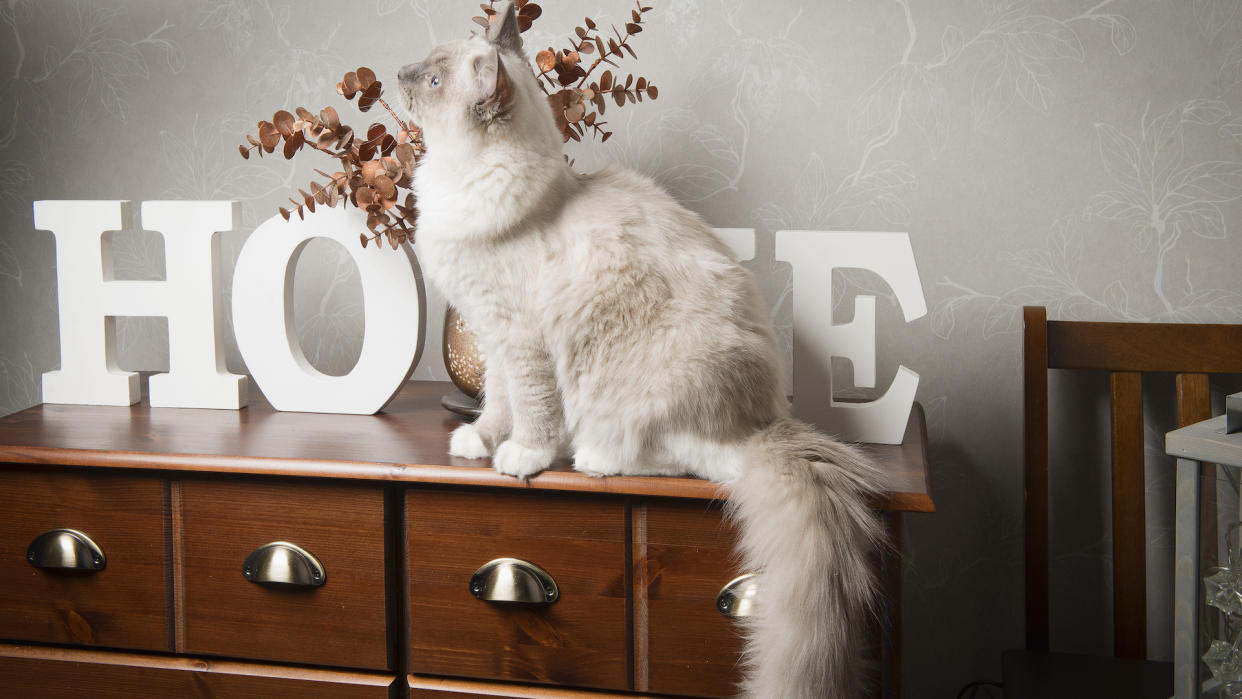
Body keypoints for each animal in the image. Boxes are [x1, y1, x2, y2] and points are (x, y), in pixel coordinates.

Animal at [397, 6, 884, 699]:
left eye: (433, 80)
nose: (398, 74)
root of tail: (768, 423)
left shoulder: (520, 339)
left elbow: (531, 411)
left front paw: (520, 459)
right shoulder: (490, 334)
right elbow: (496, 405)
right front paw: (480, 444)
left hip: (641, 395)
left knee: (683, 460)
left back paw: (594, 458)